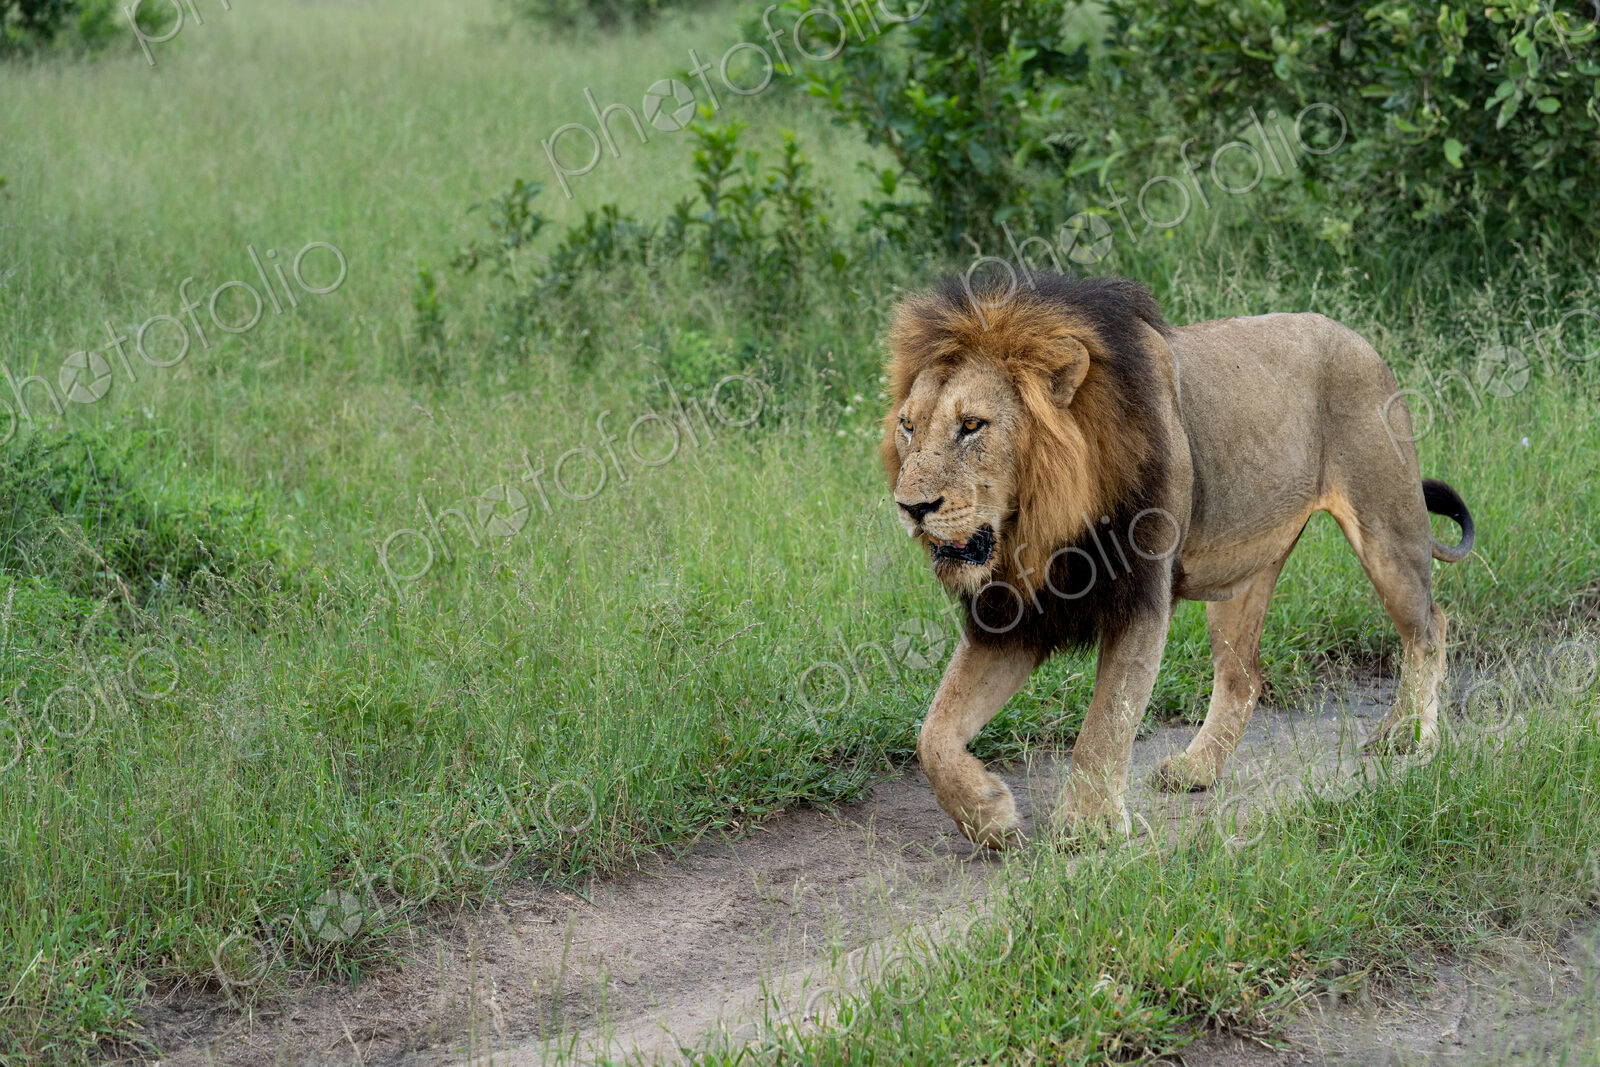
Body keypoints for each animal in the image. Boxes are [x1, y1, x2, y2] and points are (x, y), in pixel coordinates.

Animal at [882, 272, 1474, 848]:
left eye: (972, 425)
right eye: (908, 426)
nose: (911, 507)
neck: (1040, 524)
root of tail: (1358, 339)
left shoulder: (1141, 597)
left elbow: (1105, 724)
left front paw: (1086, 828)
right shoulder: (1012, 616)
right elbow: (933, 732)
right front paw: (989, 815)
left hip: (1387, 531)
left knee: (1430, 627)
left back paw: (1409, 738)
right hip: (1241, 573)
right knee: (1244, 677)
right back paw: (1196, 769)